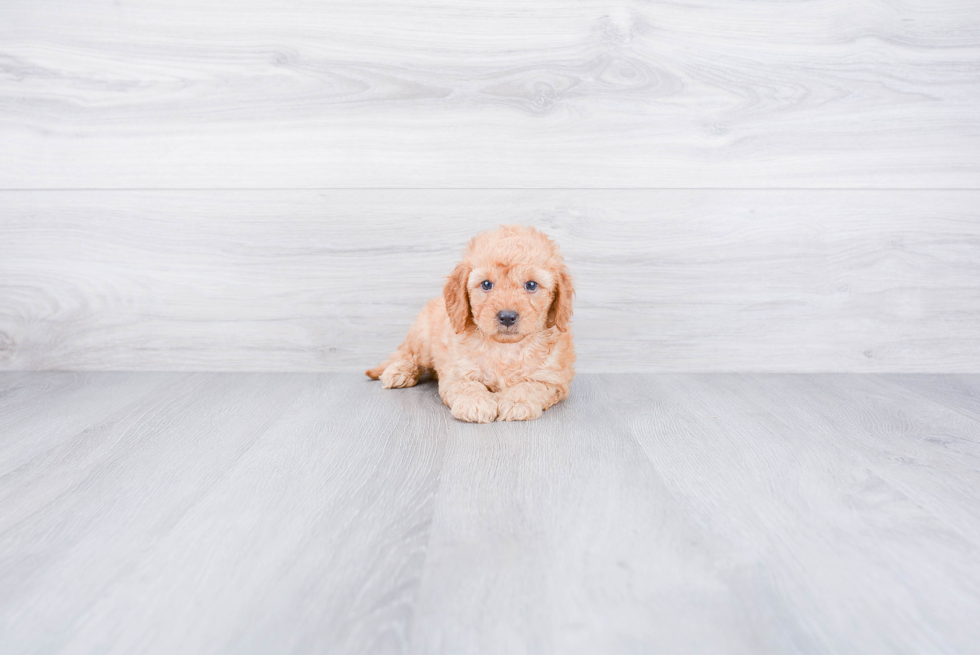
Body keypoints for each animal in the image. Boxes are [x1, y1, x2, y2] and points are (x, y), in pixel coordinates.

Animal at [368, 227, 576, 426]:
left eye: (531, 285)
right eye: (486, 284)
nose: (507, 317)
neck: (505, 348)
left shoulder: (553, 379)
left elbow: (530, 385)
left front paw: (516, 402)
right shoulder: (456, 372)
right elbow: (467, 386)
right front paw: (476, 403)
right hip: (423, 339)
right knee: (409, 356)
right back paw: (399, 371)